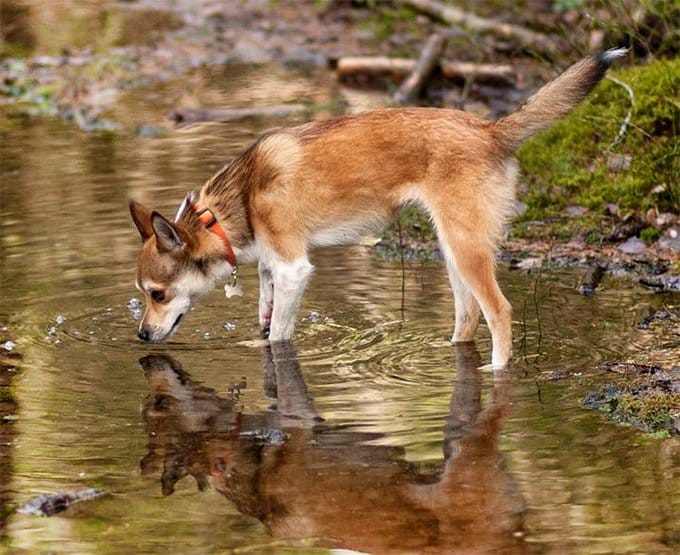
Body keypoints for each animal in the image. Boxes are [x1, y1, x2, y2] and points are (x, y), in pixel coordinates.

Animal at [127, 48, 628, 370]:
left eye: (157, 294)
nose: (141, 336)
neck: (238, 201)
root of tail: (491, 131)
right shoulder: (272, 272)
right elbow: (265, 320)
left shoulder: (293, 269)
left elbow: (280, 336)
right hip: (452, 251)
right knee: (468, 316)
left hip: (466, 248)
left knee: (500, 312)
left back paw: (497, 372)